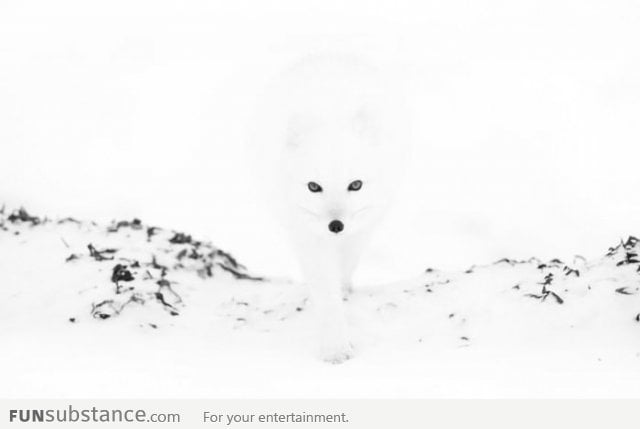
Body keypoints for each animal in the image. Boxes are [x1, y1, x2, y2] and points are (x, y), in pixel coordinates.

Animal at [248, 53, 408, 362]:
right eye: (313, 187)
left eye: (355, 185)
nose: (336, 225)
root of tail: (329, 58)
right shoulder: (308, 235)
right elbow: (325, 287)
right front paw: (335, 346)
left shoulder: (361, 228)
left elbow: (345, 266)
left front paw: (343, 291)